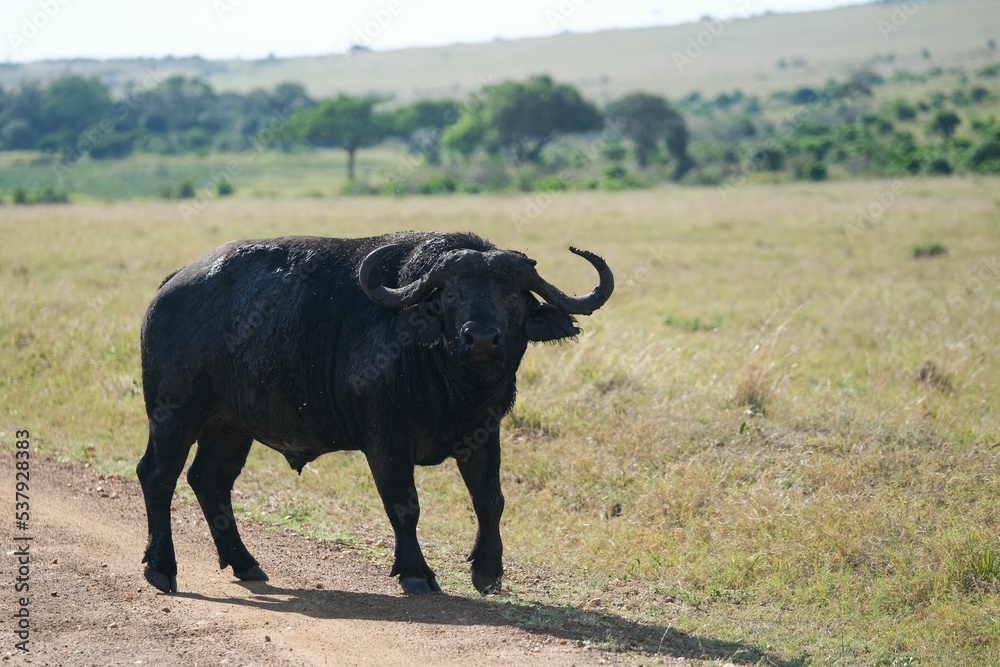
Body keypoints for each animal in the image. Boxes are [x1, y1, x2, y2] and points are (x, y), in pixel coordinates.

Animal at [137, 232, 612, 596]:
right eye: (452, 294)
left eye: (513, 296)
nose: (480, 338)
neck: (449, 381)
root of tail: (169, 287)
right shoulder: (386, 439)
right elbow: (404, 505)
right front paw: (417, 574)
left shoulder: (483, 432)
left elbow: (490, 500)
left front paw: (488, 572)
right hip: (175, 413)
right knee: (158, 474)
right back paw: (162, 568)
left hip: (230, 425)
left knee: (210, 480)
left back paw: (245, 563)